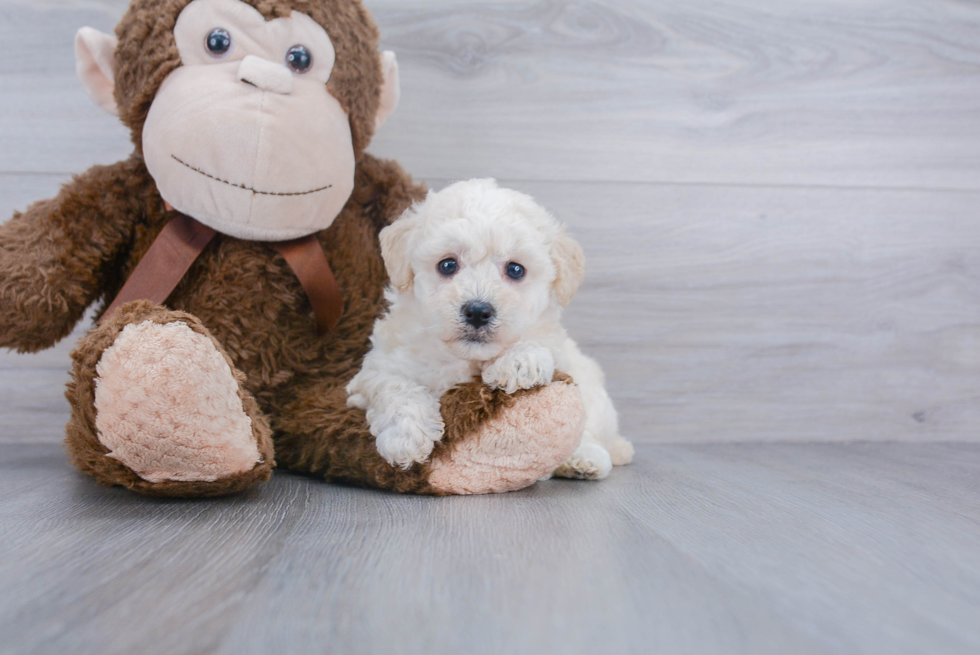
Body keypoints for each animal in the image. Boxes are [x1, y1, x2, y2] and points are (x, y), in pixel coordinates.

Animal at [344, 179, 636, 482]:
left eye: (516, 270)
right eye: (447, 265)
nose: (477, 311)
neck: (463, 357)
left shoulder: (554, 345)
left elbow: (535, 343)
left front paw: (520, 360)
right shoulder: (377, 370)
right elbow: (395, 388)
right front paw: (405, 437)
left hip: (592, 390)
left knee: (588, 428)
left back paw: (584, 460)